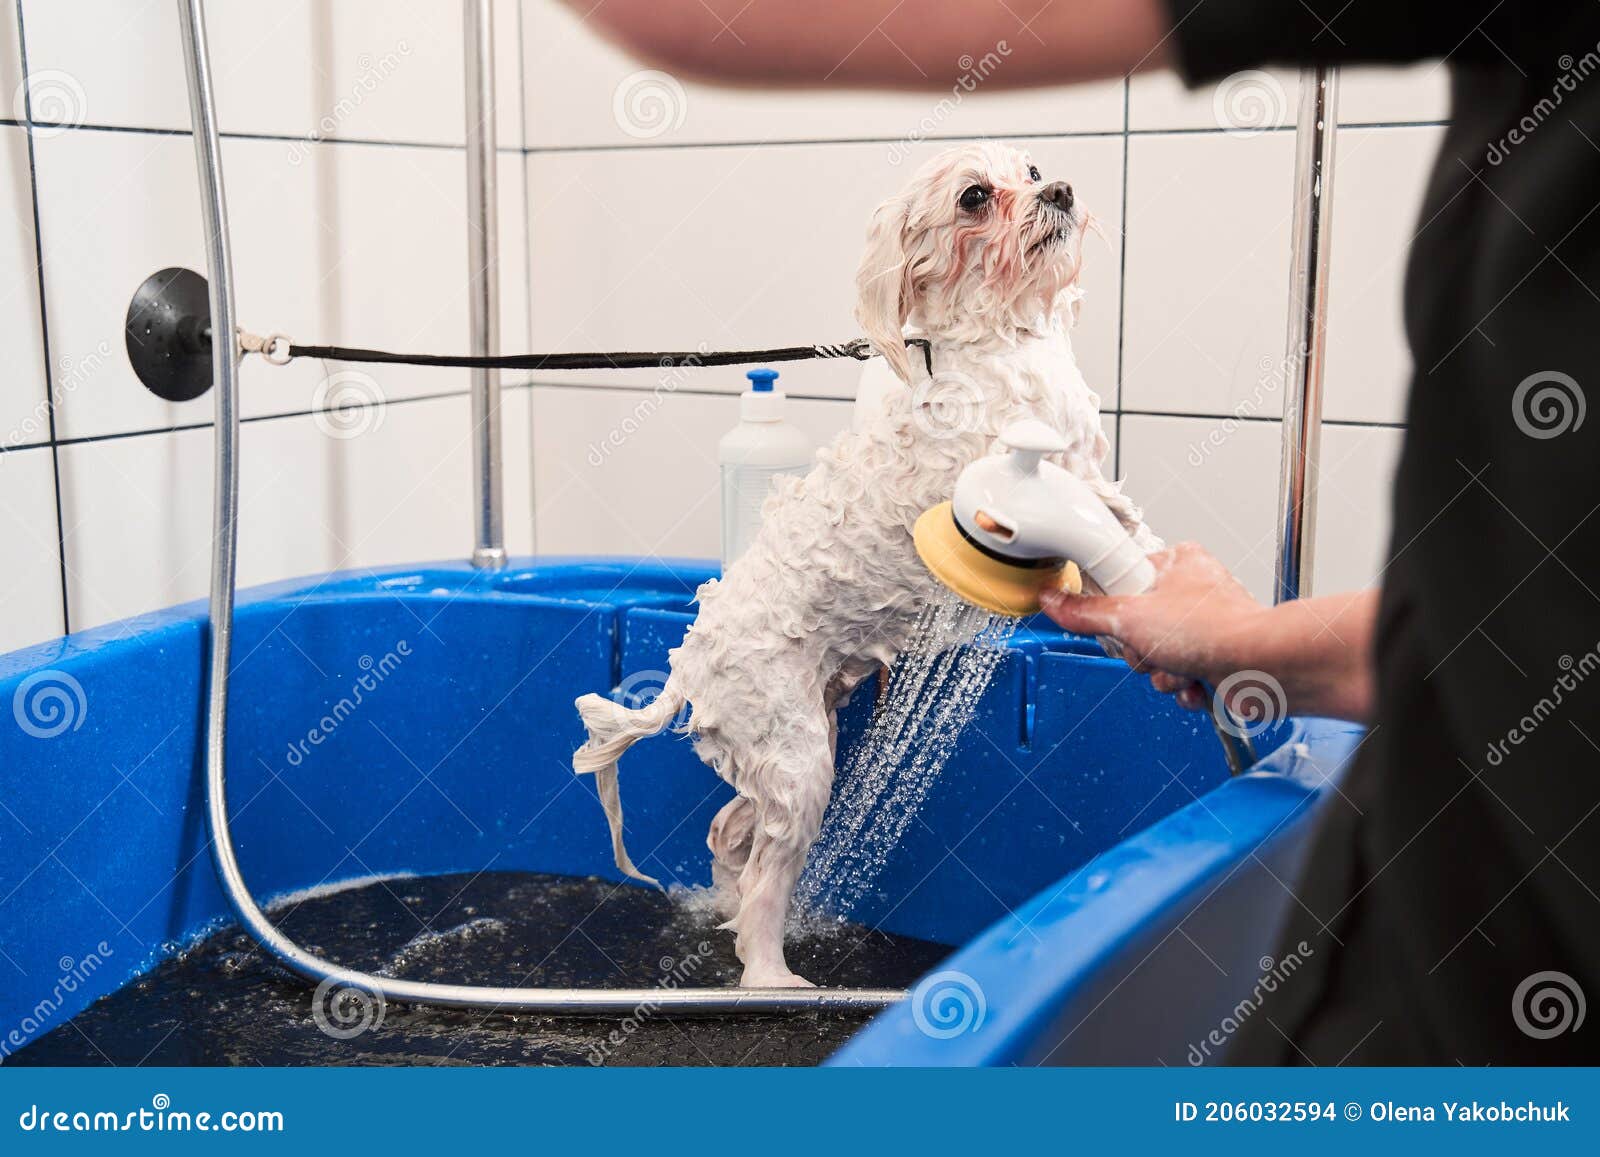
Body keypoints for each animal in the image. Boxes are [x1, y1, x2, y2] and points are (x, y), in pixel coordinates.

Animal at [576, 138, 1164, 985]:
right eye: (975, 197)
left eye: (1030, 169)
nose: (1059, 189)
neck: (1003, 344)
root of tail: (691, 657)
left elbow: (1126, 528)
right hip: (796, 756)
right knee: (764, 879)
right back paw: (769, 975)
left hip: (791, 734)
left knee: (728, 829)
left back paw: (723, 907)